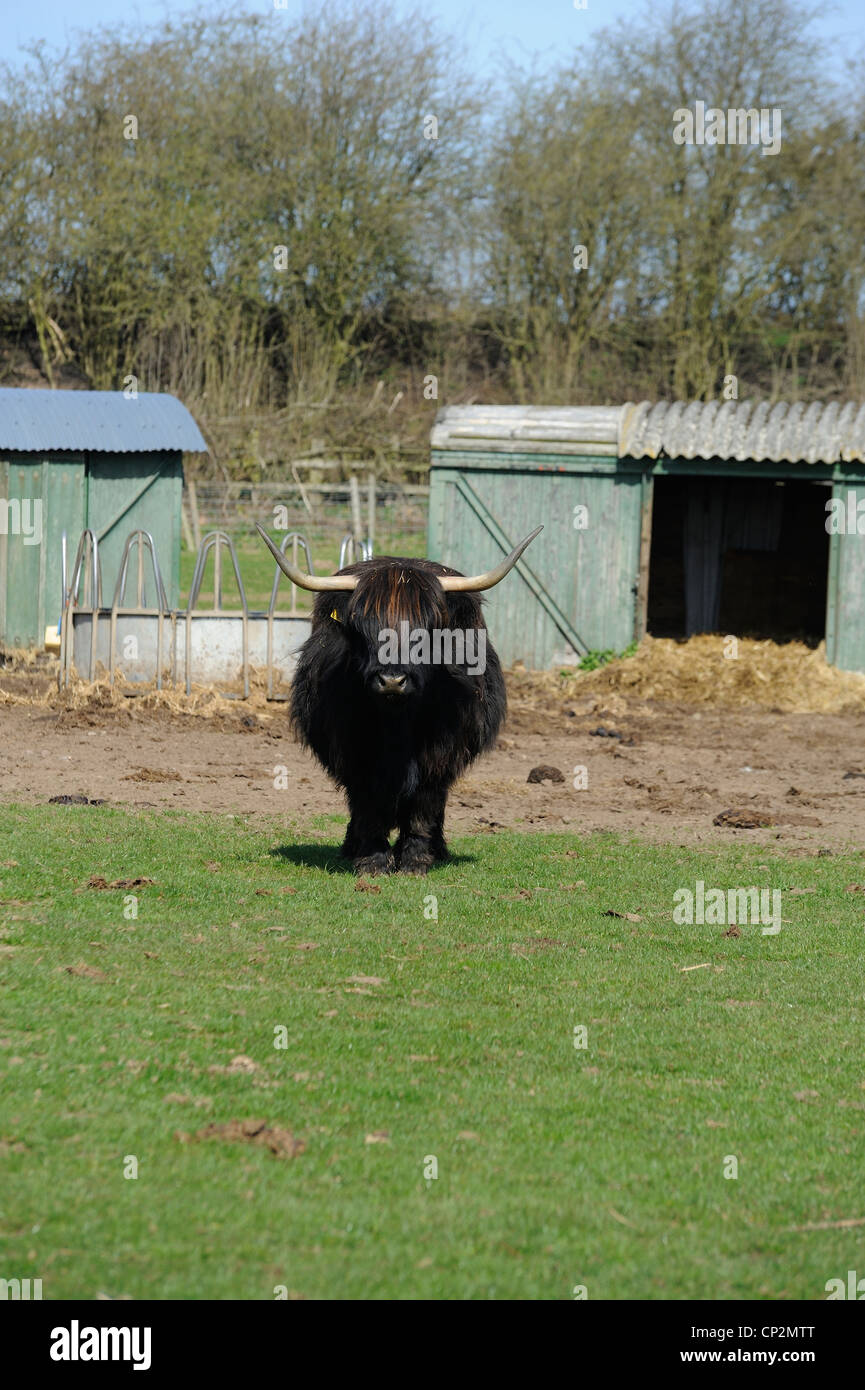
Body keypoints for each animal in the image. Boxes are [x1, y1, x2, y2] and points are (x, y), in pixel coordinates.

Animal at [256, 522, 542, 875]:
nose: (392, 680)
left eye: (429, 627)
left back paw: (438, 849)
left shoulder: (441, 753)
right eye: (360, 625)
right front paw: (373, 860)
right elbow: (368, 806)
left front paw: (415, 861)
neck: (397, 723)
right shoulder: (354, 754)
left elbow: (423, 806)